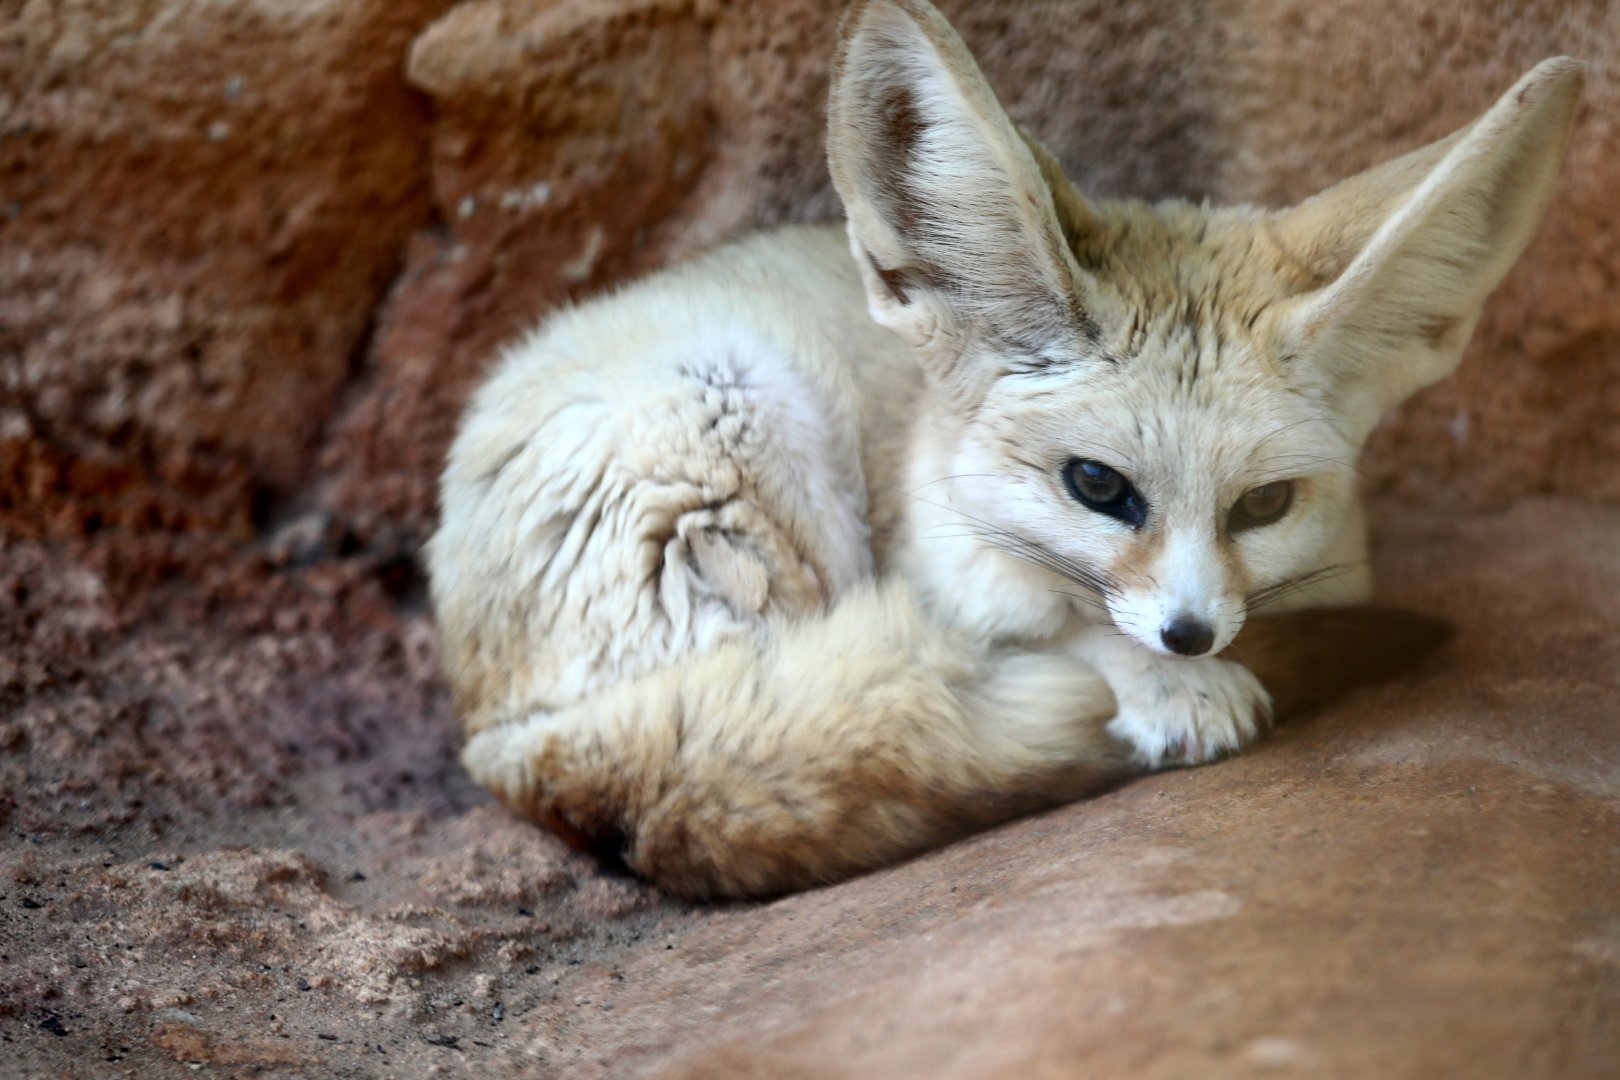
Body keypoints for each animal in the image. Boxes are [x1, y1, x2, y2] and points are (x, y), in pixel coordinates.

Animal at [426, 0, 1582, 899]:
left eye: (1264, 506)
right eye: (1097, 485)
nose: (1193, 635)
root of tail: (493, 729)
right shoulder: (951, 577)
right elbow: (1057, 628)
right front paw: (1159, 684)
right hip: (738, 420)